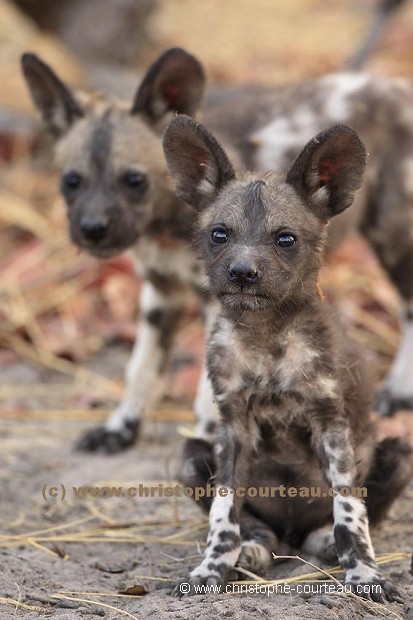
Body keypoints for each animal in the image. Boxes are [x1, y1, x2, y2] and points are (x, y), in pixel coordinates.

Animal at [162, 114, 412, 600]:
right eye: (219, 235)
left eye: (285, 239)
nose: (242, 273)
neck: (266, 340)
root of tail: (291, 535)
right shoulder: (234, 427)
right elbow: (223, 516)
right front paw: (212, 569)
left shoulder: (330, 424)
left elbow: (350, 514)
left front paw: (365, 575)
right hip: (190, 457)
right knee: (256, 528)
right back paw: (253, 549)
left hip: (399, 454)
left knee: (337, 522)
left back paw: (321, 543)